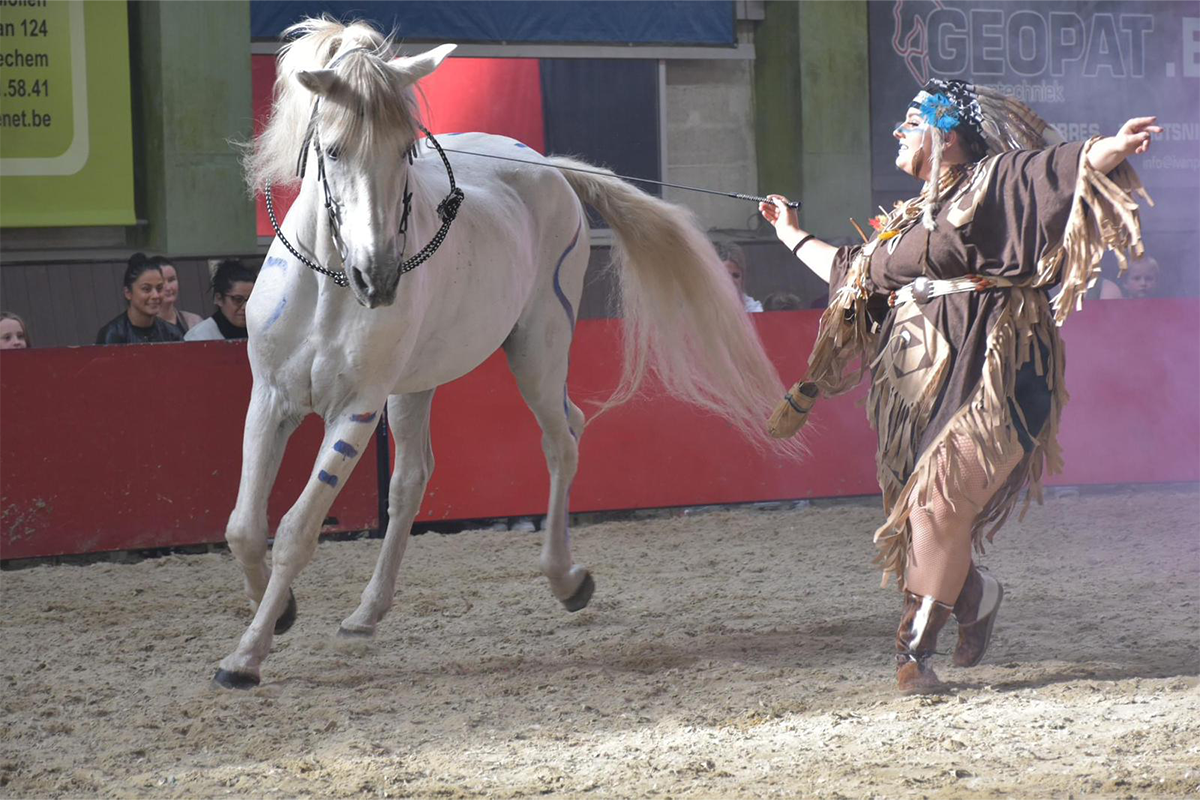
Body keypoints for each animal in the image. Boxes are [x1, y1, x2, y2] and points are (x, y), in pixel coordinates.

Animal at [214, 17, 800, 688]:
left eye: (407, 150)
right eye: (333, 150)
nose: (378, 278)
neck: (328, 286)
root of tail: (546, 167)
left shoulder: (356, 409)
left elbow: (296, 529)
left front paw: (246, 657)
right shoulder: (271, 398)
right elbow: (243, 527)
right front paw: (280, 614)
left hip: (537, 349)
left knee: (561, 439)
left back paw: (566, 579)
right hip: (416, 383)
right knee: (412, 480)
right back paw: (367, 613)